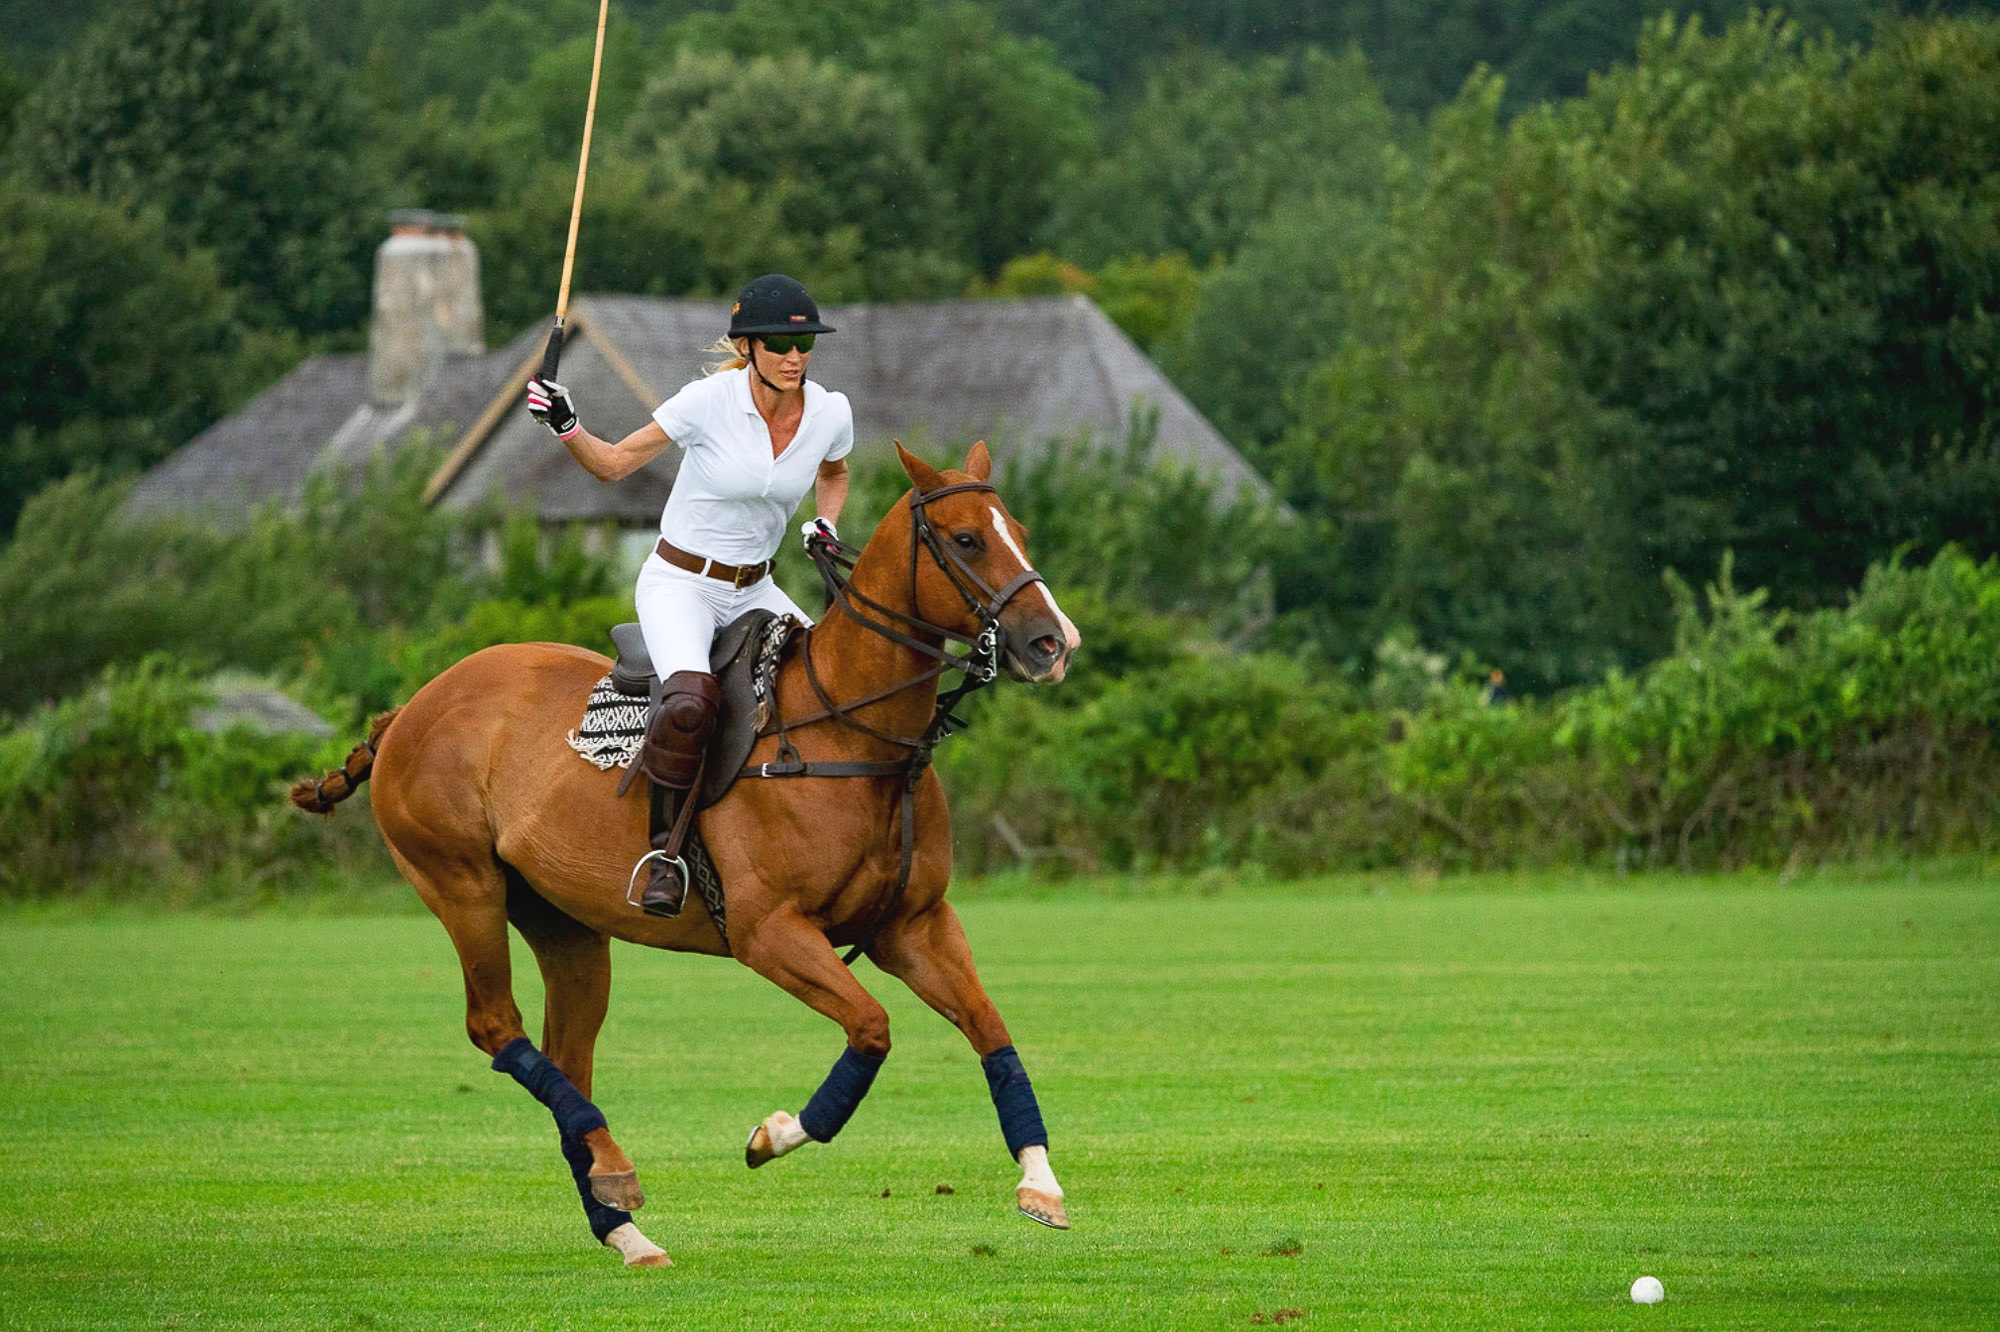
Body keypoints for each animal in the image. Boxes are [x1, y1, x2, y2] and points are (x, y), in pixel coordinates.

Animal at [290, 444, 1080, 1264]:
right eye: (966, 540)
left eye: (1018, 530)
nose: (1053, 643)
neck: (852, 734)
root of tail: (408, 708)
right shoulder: (768, 931)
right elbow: (871, 1028)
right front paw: (773, 1136)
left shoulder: (914, 923)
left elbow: (990, 1027)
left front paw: (1041, 1185)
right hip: (461, 884)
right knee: (496, 1026)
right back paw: (618, 1174)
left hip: (565, 923)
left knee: (566, 1052)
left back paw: (621, 1222)